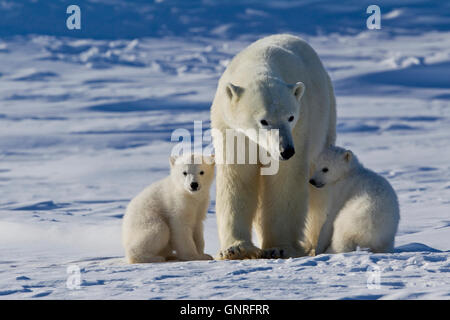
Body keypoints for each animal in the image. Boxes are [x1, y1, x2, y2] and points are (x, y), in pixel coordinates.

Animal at [210, 33, 334, 258]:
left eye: (290, 117)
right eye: (264, 121)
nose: (286, 150)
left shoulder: (301, 124)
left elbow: (284, 180)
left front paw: (280, 247)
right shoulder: (230, 129)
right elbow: (237, 178)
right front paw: (236, 248)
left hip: (325, 120)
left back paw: (314, 244)